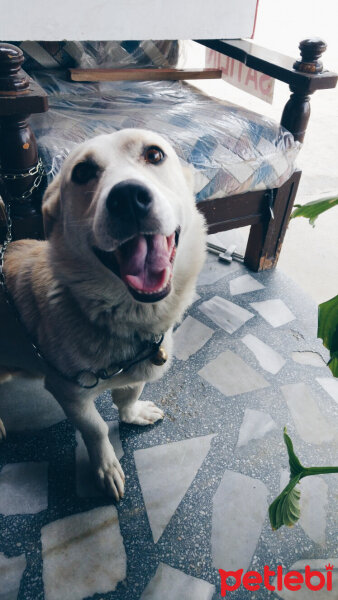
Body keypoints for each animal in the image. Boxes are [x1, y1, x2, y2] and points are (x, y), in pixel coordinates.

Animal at [0, 129, 206, 500]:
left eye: (155, 155)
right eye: (82, 172)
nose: (128, 198)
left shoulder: (134, 376)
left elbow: (128, 396)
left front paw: (133, 414)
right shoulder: (69, 393)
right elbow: (96, 429)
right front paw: (106, 468)